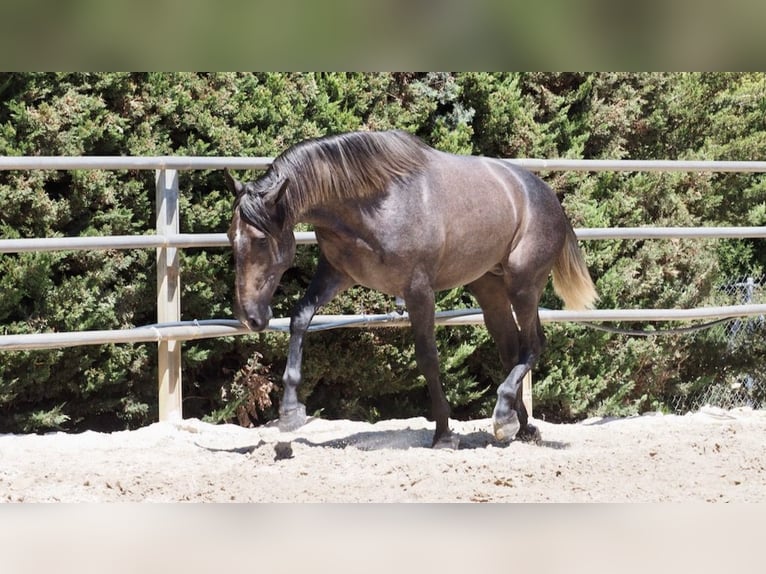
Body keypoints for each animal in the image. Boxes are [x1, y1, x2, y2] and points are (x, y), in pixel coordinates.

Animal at [225, 130, 596, 450]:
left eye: (260, 241)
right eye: (231, 237)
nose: (251, 317)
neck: (377, 203)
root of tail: (548, 196)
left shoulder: (419, 291)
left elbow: (428, 357)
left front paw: (444, 434)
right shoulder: (336, 275)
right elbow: (300, 319)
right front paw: (290, 411)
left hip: (523, 286)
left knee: (533, 344)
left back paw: (504, 417)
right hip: (490, 290)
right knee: (512, 350)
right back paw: (520, 425)